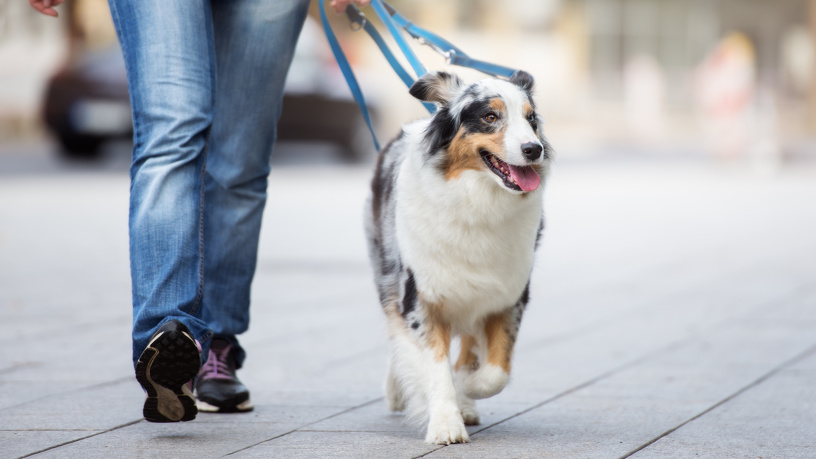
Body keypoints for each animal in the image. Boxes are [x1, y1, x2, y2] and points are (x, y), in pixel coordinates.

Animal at [364, 69, 552, 446]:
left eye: (532, 120)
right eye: (490, 117)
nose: (533, 149)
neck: (477, 201)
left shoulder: (507, 296)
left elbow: (496, 371)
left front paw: (466, 387)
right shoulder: (419, 297)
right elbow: (434, 367)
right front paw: (445, 425)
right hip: (387, 273)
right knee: (396, 329)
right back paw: (398, 390)